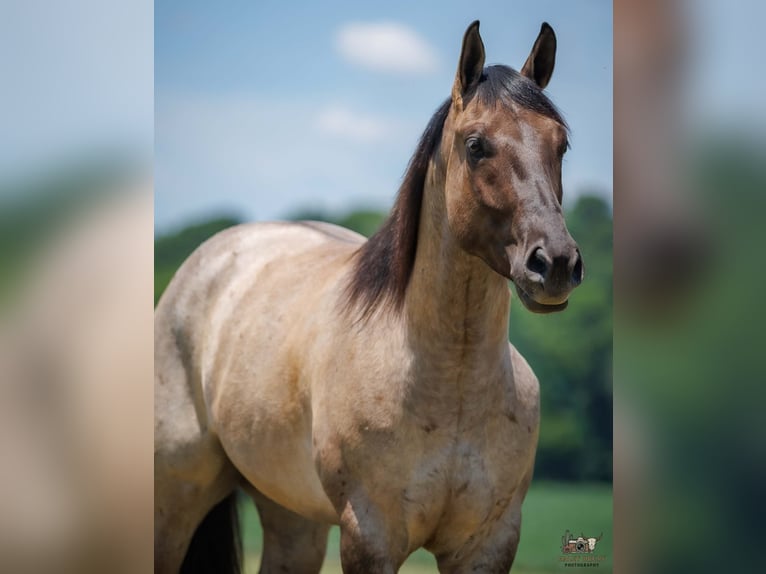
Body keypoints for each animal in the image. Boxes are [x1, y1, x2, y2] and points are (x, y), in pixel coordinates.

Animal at [155, 20, 583, 574]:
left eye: (561, 145)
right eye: (476, 145)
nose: (555, 264)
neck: (452, 389)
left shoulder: (488, 545)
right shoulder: (370, 537)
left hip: (293, 519)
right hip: (174, 505)